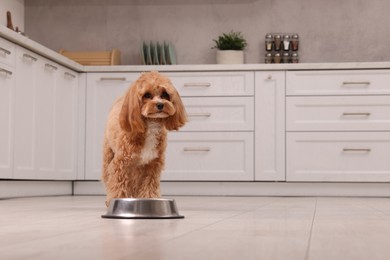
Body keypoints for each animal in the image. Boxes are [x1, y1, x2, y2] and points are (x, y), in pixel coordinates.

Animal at [100, 70, 186, 205]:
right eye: (147, 95)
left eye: (165, 94)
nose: (160, 104)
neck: (151, 124)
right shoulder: (121, 163)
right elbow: (118, 185)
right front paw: (117, 199)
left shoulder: (153, 164)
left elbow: (149, 185)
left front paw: (149, 199)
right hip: (109, 155)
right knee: (108, 177)